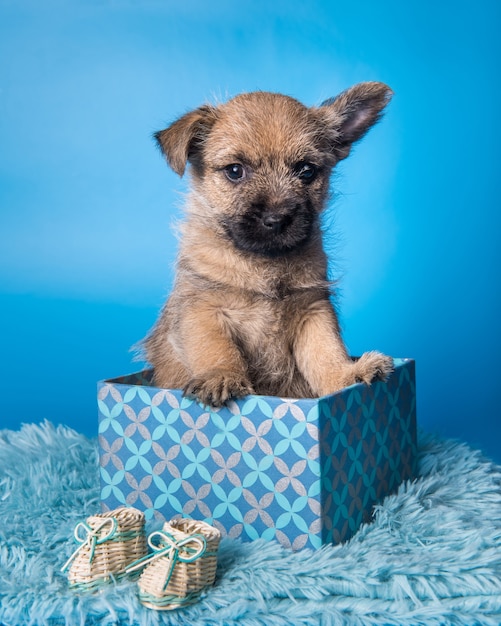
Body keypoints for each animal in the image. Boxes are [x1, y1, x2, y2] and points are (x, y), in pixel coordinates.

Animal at [142, 81, 394, 404]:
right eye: (235, 170)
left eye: (306, 170)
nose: (277, 219)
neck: (263, 263)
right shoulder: (202, 308)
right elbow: (214, 347)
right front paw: (221, 376)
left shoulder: (313, 313)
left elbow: (326, 352)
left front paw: (346, 376)